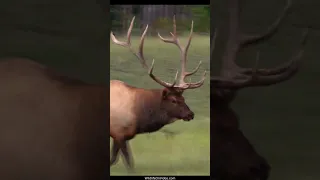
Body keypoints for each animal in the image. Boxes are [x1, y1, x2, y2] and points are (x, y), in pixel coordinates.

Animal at [110, 15, 208, 170]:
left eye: (184, 99)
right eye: (173, 100)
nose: (190, 114)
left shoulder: (120, 135)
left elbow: (117, 159)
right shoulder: (118, 132)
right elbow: (126, 162)